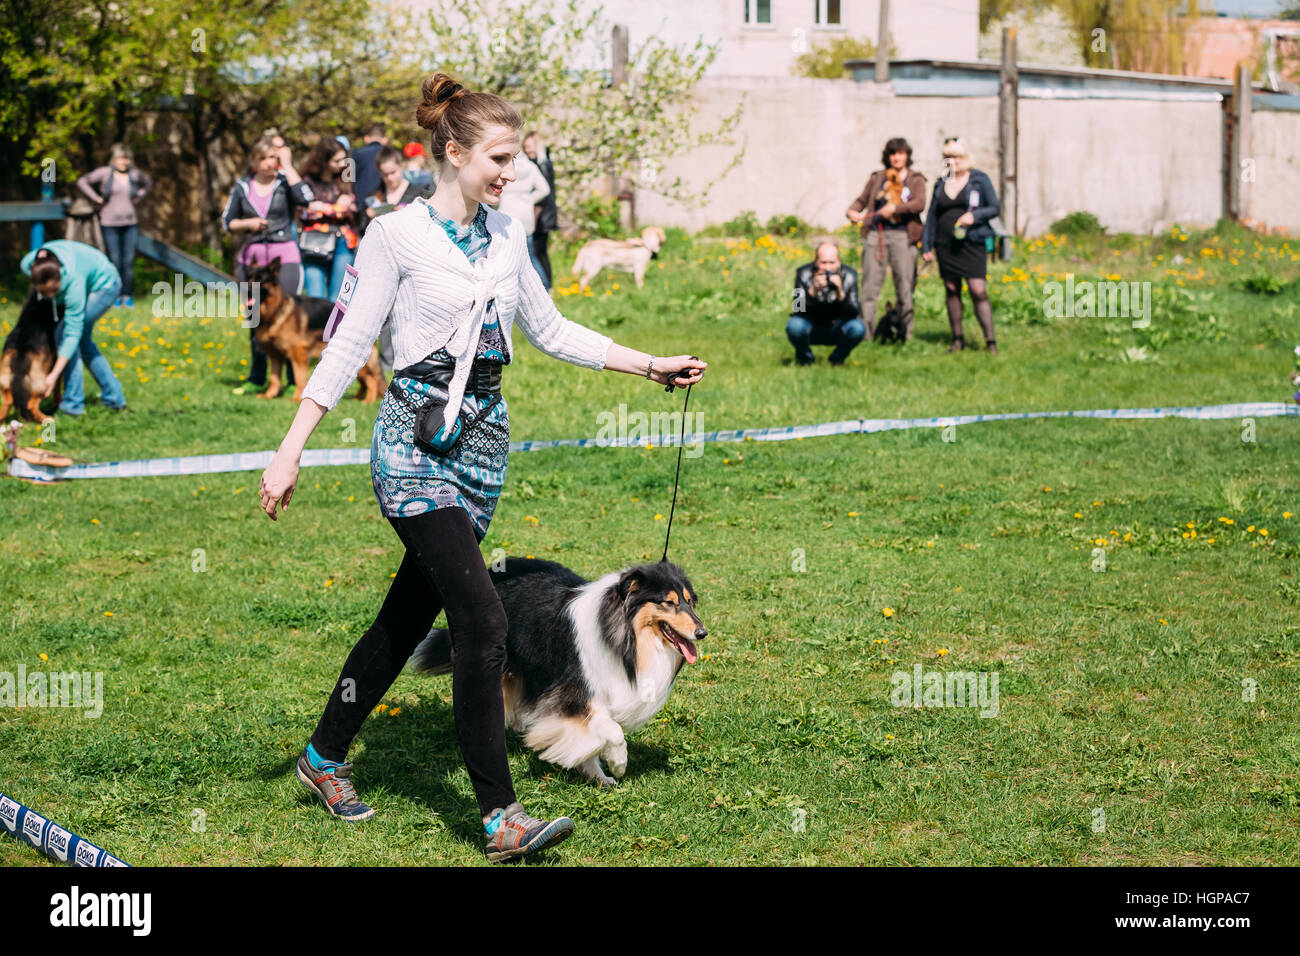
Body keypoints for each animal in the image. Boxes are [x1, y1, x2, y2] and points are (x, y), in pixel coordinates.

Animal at [0, 287, 62, 421]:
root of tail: (21, 350)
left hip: (5, 381)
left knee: (6, 404)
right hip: (42, 384)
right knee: (31, 406)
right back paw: (47, 418)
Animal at [244, 256, 382, 403]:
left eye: (261, 280)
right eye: (249, 277)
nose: (246, 291)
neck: (274, 312)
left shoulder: (298, 352)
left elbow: (299, 377)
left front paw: (297, 397)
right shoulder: (275, 355)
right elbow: (274, 378)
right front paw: (269, 395)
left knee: (372, 378)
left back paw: (368, 400)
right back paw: (357, 398)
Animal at [413, 556, 702, 790]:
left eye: (689, 601)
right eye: (668, 603)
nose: (702, 632)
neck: (623, 635)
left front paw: (599, 775)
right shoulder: (571, 692)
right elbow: (613, 730)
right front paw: (618, 763)